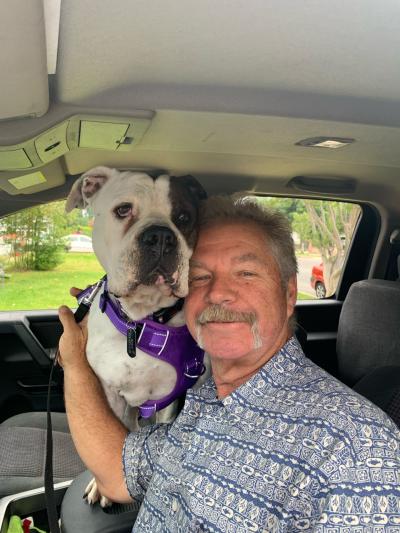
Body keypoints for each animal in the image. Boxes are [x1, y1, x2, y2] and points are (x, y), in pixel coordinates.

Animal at [65, 165, 206, 502]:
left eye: (183, 217)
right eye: (123, 210)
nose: (161, 236)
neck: (142, 324)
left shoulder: (169, 398)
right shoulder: (110, 393)